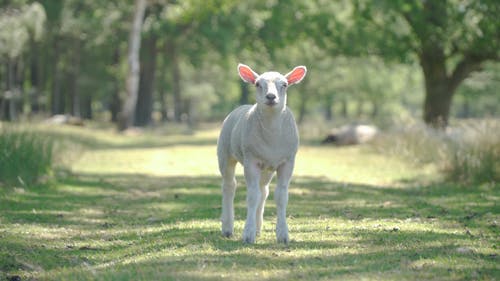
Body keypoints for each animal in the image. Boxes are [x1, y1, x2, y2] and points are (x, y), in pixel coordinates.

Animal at [217, 63, 306, 243]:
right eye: (258, 84)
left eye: (285, 84)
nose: (271, 96)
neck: (272, 137)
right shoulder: (251, 160)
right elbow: (252, 196)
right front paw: (248, 234)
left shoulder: (288, 161)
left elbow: (281, 196)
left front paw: (283, 234)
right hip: (225, 152)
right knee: (229, 186)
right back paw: (228, 228)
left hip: (267, 167)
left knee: (263, 191)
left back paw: (258, 227)